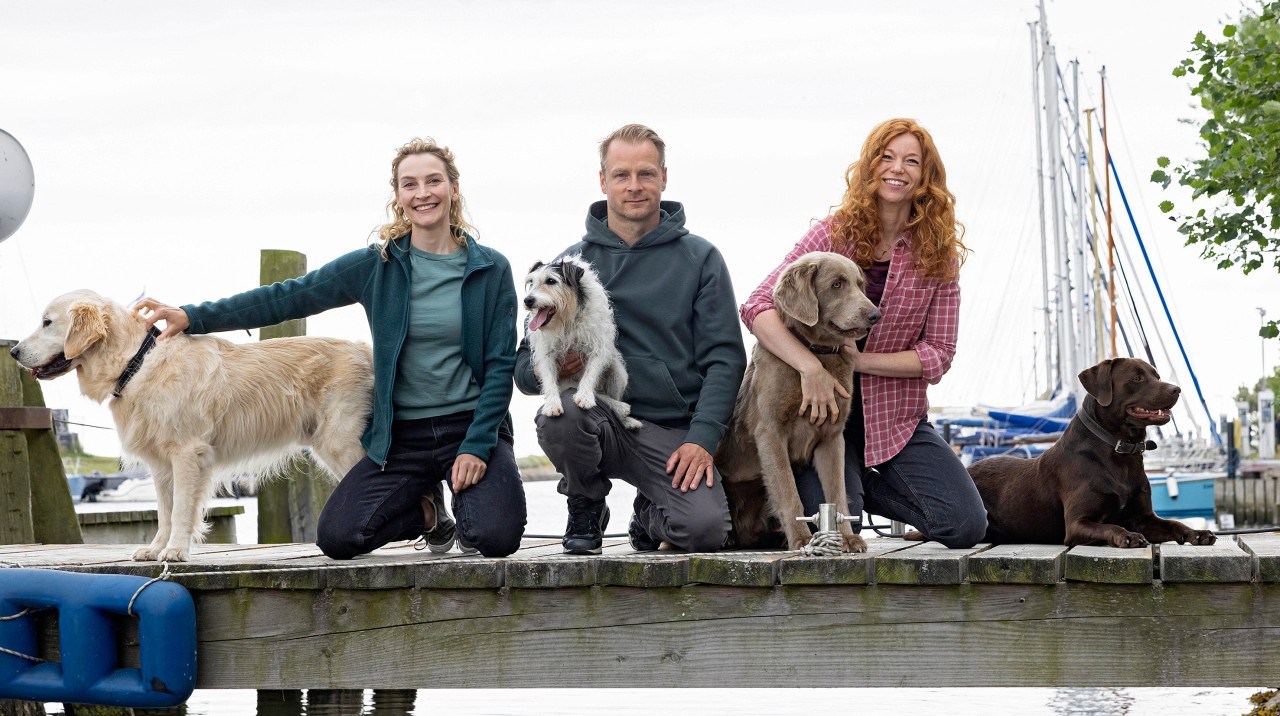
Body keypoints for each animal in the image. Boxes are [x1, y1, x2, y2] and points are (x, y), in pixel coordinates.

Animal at [11, 288, 371, 563]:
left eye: (47, 322)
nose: (13, 350)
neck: (136, 364)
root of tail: (364, 349)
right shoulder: (160, 464)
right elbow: (164, 511)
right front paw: (155, 549)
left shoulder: (186, 453)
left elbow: (181, 509)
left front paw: (175, 551)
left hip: (340, 442)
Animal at [519, 254, 640, 427]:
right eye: (531, 282)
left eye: (551, 281)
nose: (527, 300)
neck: (568, 319)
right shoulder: (546, 353)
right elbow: (548, 378)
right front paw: (552, 405)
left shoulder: (598, 346)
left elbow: (591, 372)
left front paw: (585, 396)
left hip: (618, 372)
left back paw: (626, 418)